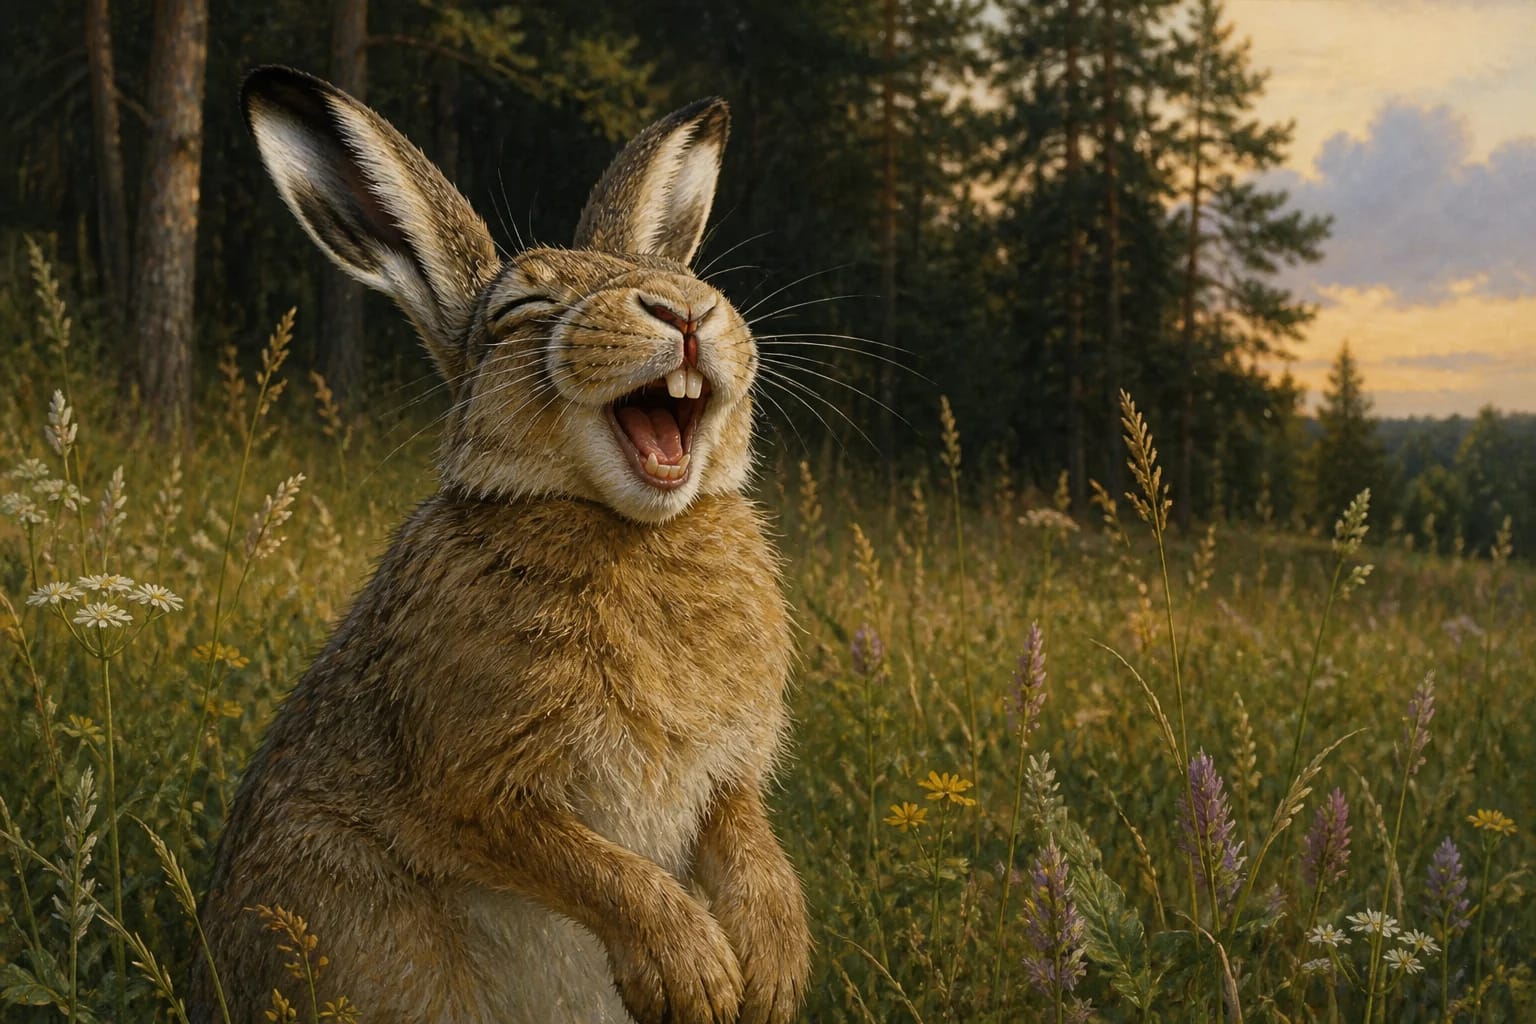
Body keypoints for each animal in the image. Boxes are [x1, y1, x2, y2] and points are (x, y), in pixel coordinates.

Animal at [192, 66, 811, 1024]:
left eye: (684, 276)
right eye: (524, 309)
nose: (687, 311)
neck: (629, 528)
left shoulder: (728, 774)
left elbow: (744, 831)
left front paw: (774, 968)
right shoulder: (474, 787)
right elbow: (586, 865)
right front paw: (695, 974)